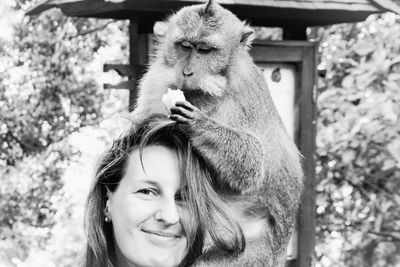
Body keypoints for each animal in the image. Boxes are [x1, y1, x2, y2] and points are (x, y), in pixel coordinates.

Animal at [131, 1, 304, 266]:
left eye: (205, 50)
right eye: (184, 46)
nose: (187, 72)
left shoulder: (245, 91)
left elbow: (253, 164)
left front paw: (196, 124)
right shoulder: (155, 81)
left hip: (255, 251)